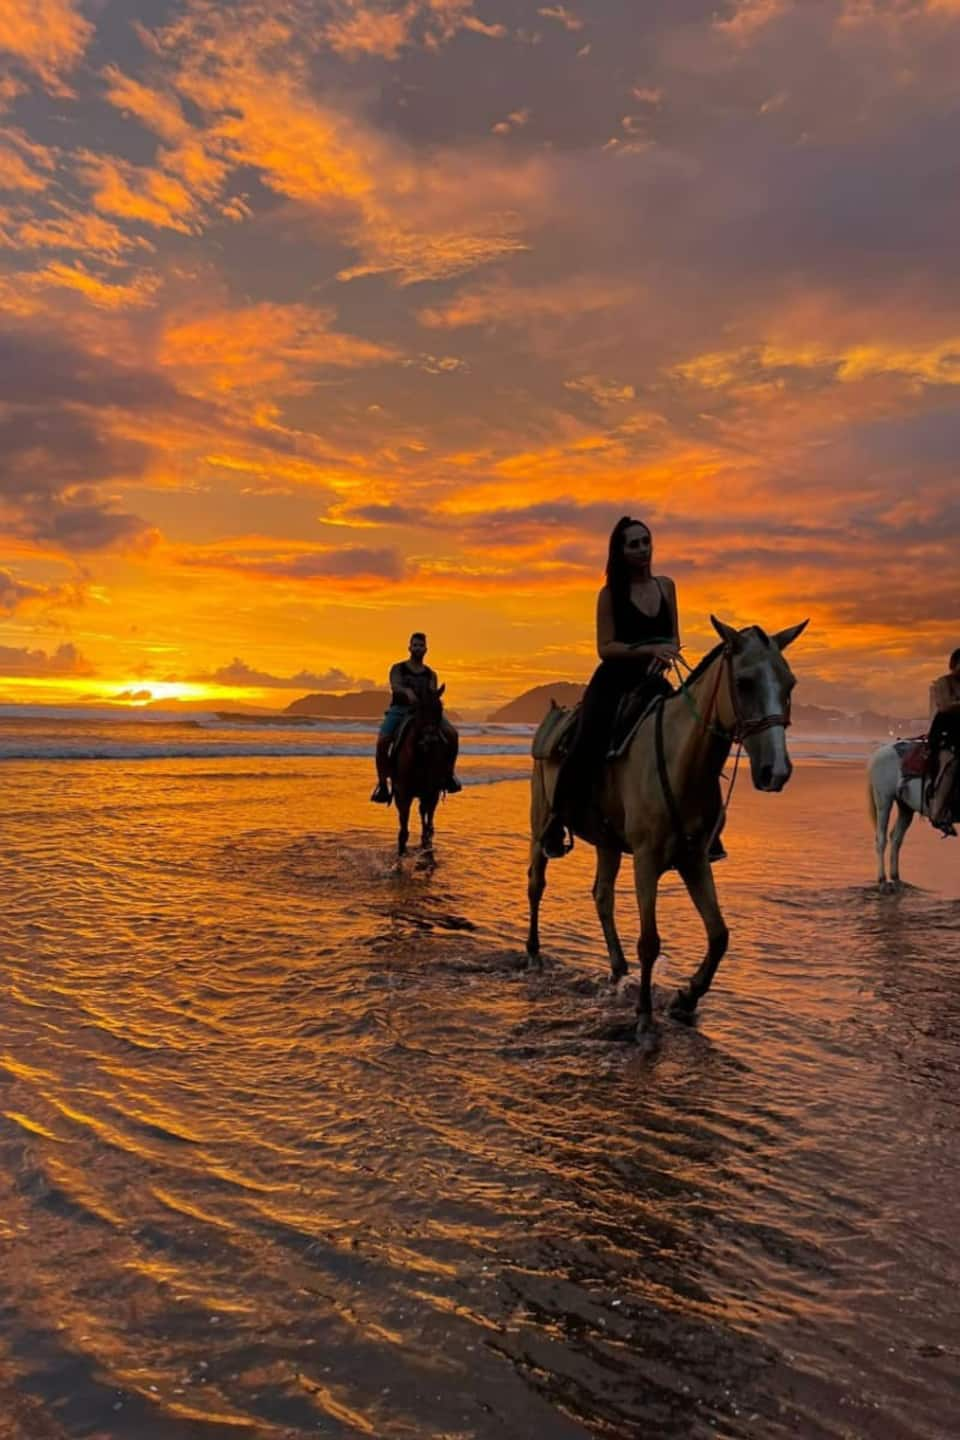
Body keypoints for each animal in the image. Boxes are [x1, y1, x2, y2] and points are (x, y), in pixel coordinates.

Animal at [391, 682, 451, 852]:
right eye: (420, 708)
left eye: (440, 709)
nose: (430, 739)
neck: (421, 756)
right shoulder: (403, 791)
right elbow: (404, 818)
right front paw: (402, 842)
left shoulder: (432, 789)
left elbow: (426, 812)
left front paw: (426, 836)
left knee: (427, 811)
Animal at [529, 616, 805, 1036]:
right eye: (744, 682)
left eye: (789, 684)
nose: (776, 771)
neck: (682, 761)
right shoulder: (646, 860)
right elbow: (650, 941)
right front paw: (645, 1016)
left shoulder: (695, 860)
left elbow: (719, 934)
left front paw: (685, 999)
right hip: (540, 819)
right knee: (536, 883)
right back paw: (532, 953)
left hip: (607, 841)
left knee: (602, 896)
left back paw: (617, 969)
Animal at [869, 743, 926, 887]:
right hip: (884, 800)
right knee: (882, 839)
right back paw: (882, 880)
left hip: (905, 807)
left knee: (896, 838)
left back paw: (895, 877)